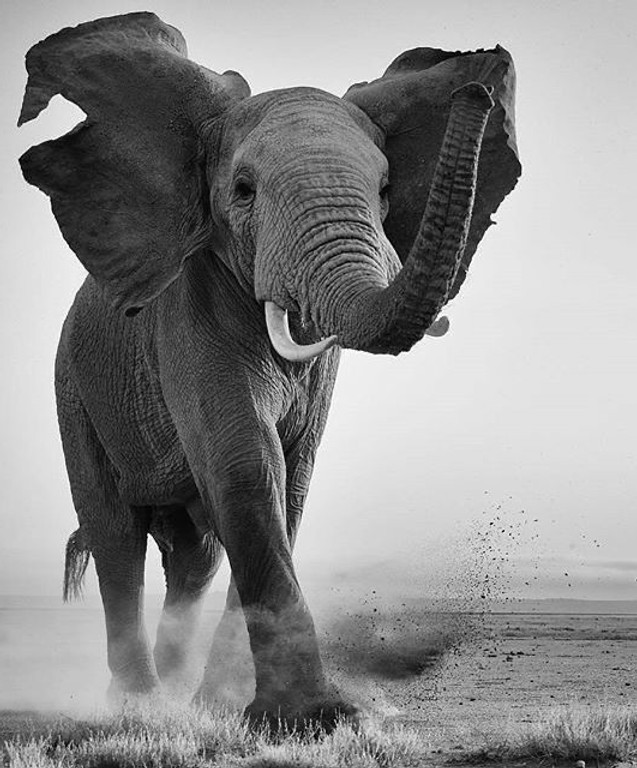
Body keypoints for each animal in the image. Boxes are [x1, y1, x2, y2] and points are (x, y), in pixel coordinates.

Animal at [18, 13, 520, 730]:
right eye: (243, 191)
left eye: (385, 191)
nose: (475, 97)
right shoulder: (188, 309)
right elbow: (248, 465)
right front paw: (312, 720)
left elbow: (292, 482)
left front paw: (232, 710)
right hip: (72, 385)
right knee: (114, 531)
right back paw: (139, 710)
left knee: (193, 557)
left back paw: (182, 700)